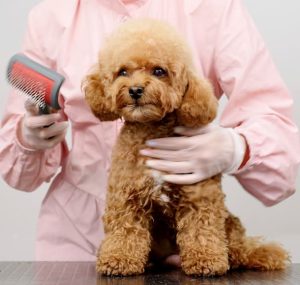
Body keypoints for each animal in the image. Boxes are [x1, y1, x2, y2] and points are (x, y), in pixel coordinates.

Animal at [83, 18, 290, 276]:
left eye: (159, 71)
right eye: (122, 72)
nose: (135, 90)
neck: (151, 129)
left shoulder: (199, 197)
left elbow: (201, 230)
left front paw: (206, 260)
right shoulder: (126, 197)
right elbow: (125, 231)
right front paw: (118, 259)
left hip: (230, 226)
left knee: (240, 250)